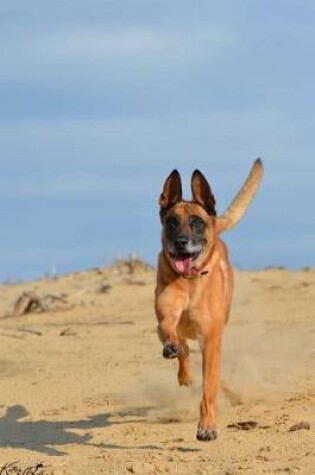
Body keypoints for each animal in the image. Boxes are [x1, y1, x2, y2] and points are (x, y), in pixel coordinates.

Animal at [156, 159, 264, 442]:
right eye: (172, 222)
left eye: (196, 222)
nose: (181, 243)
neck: (190, 281)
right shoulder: (165, 318)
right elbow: (170, 332)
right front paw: (175, 352)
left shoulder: (211, 339)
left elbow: (209, 389)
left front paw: (207, 426)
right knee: (184, 348)